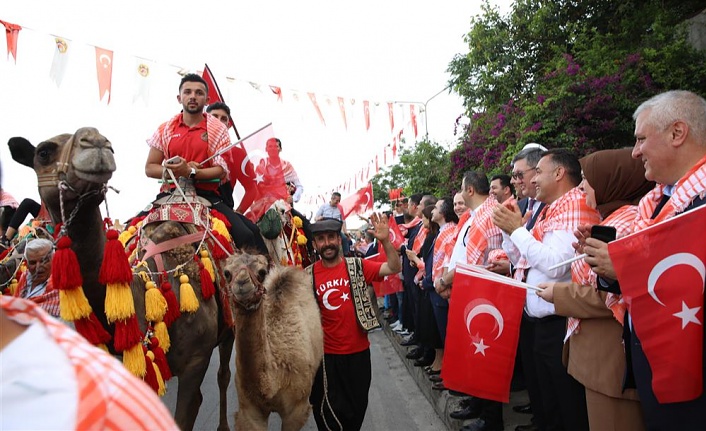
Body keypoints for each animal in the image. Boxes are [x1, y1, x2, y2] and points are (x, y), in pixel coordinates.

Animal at [6, 131, 231, 431]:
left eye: (108, 144)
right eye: (43, 152)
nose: (95, 142)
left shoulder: (196, 360)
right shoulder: (131, 361)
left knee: (224, 374)